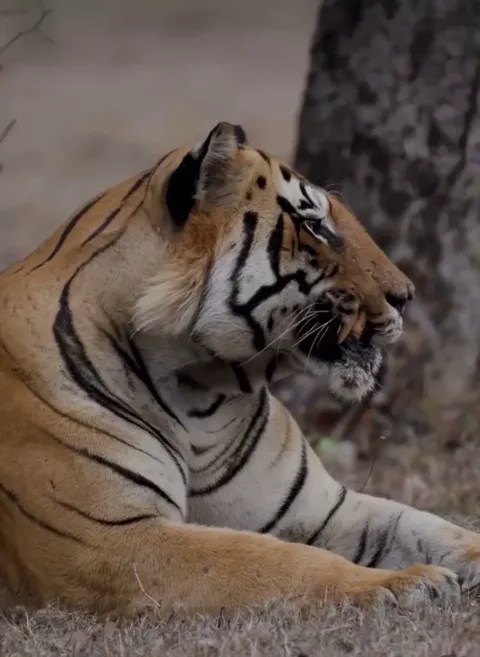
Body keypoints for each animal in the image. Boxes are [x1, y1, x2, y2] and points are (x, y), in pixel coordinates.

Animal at [0, 121, 479, 618]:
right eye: (315, 225)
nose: (407, 296)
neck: (200, 394)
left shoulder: (320, 508)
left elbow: (428, 525)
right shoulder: (107, 538)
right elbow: (274, 559)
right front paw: (406, 584)